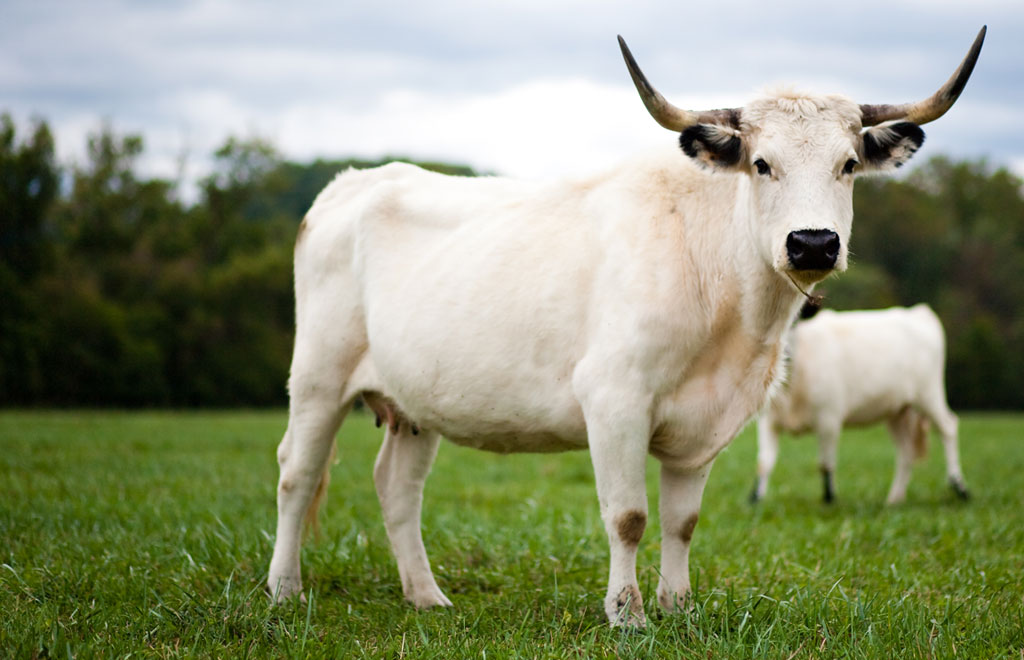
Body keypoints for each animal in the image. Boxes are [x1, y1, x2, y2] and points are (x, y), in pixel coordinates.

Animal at [753, 302, 966, 505]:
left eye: (795, 323)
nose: (784, 353)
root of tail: (918, 312)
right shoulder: (768, 420)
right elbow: (764, 463)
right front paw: (755, 498)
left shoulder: (829, 419)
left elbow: (825, 464)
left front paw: (829, 498)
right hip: (897, 411)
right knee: (906, 452)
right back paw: (894, 498)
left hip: (929, 395)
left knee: (948, 428)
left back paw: (959, 487)